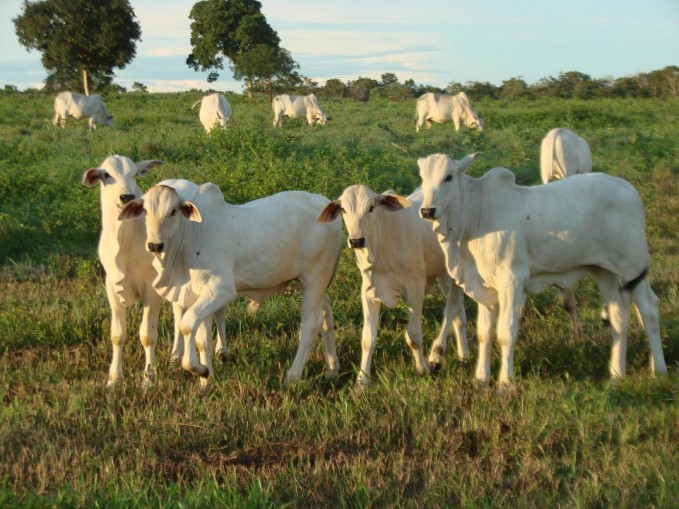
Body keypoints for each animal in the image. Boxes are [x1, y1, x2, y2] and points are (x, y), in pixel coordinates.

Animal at [118, 183, 346, 384]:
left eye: (173, 211)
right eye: (145, 210)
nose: (155, 245)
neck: (191, 237)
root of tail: (327, 204)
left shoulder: (222, 290)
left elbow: (187, 324)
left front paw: (199, 369)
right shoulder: (199, 294)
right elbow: (202, 339)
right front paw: (206, 381)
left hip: (315, 278)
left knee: (311, 324)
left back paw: (293, 376)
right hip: (314, 282)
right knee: (326, 316)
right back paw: (332, 368)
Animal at [318, 185, 468, 382]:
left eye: (371, 207)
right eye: (343, 209)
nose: (356, 241)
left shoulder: (415, 288)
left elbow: (414, 336)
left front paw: (422, 370)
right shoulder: (369, 293)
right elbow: (367, 339)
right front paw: (362, 380)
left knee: (451, 309)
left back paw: (437, 354)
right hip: (442, 273)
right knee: (458, 312)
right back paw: (463, 355)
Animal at [418, 151, 668, 388]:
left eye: (449, 177)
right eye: (423, 177)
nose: (427, 211)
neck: (477, 213)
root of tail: (629, 189)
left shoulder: (512, 281)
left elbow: (506, 333)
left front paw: (505, 383)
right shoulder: (484, 286)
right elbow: (484, 334)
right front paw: (481, 378)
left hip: (632, 267)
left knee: (649, 308)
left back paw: (659, 370)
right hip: (604, 271)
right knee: (618, 316)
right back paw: (616, 375)